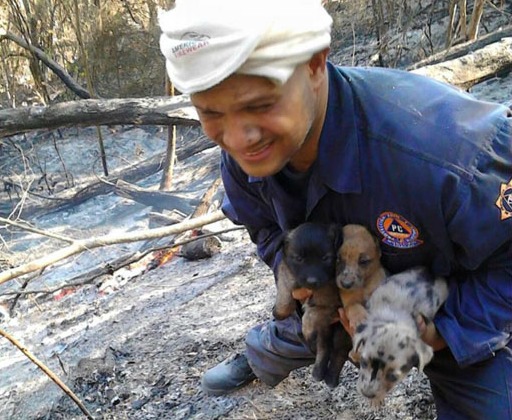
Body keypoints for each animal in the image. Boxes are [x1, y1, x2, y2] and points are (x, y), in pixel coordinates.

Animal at [274, 223, 354, 388]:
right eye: (299, 258)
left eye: (325, 258)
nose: (312, 281)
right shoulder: (287, 270)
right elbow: (285, 284)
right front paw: (279, 311)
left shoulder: (333, 304)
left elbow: (311, 314)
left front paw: (306, 328)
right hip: (325, 332)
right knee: (324, 348)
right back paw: (318, 372)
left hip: (341, 331)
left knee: (339, 352)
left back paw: (331, 378)